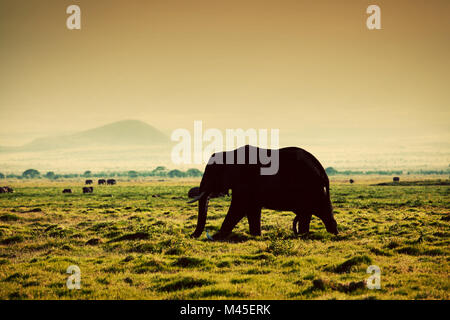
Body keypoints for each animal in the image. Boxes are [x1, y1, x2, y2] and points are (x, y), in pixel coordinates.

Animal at [188, 145, 340, 240]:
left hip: (312, 188)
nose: (190, 236)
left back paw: (333, 234)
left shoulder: (245, 181)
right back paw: (305, 235)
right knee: (309, 213)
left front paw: (218, 236)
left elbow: (238, 207)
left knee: (322, 212)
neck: (229, 153)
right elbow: (251, 209)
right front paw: (256, 235)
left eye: (211, 174)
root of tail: (322, 170)